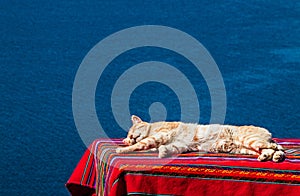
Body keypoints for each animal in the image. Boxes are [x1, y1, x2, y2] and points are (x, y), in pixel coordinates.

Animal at [116, 115, 284, 162]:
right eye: (128, 137)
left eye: (132, 133)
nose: (130, 138)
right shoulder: (179, 145)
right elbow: (168, 148)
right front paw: (163, 152)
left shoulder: (161, 134)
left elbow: (143, 143)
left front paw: (122, 149)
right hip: (244, 149)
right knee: (270, 150)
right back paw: (269, 157)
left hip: (249, 140)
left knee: (274, 147)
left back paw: (273, 152)